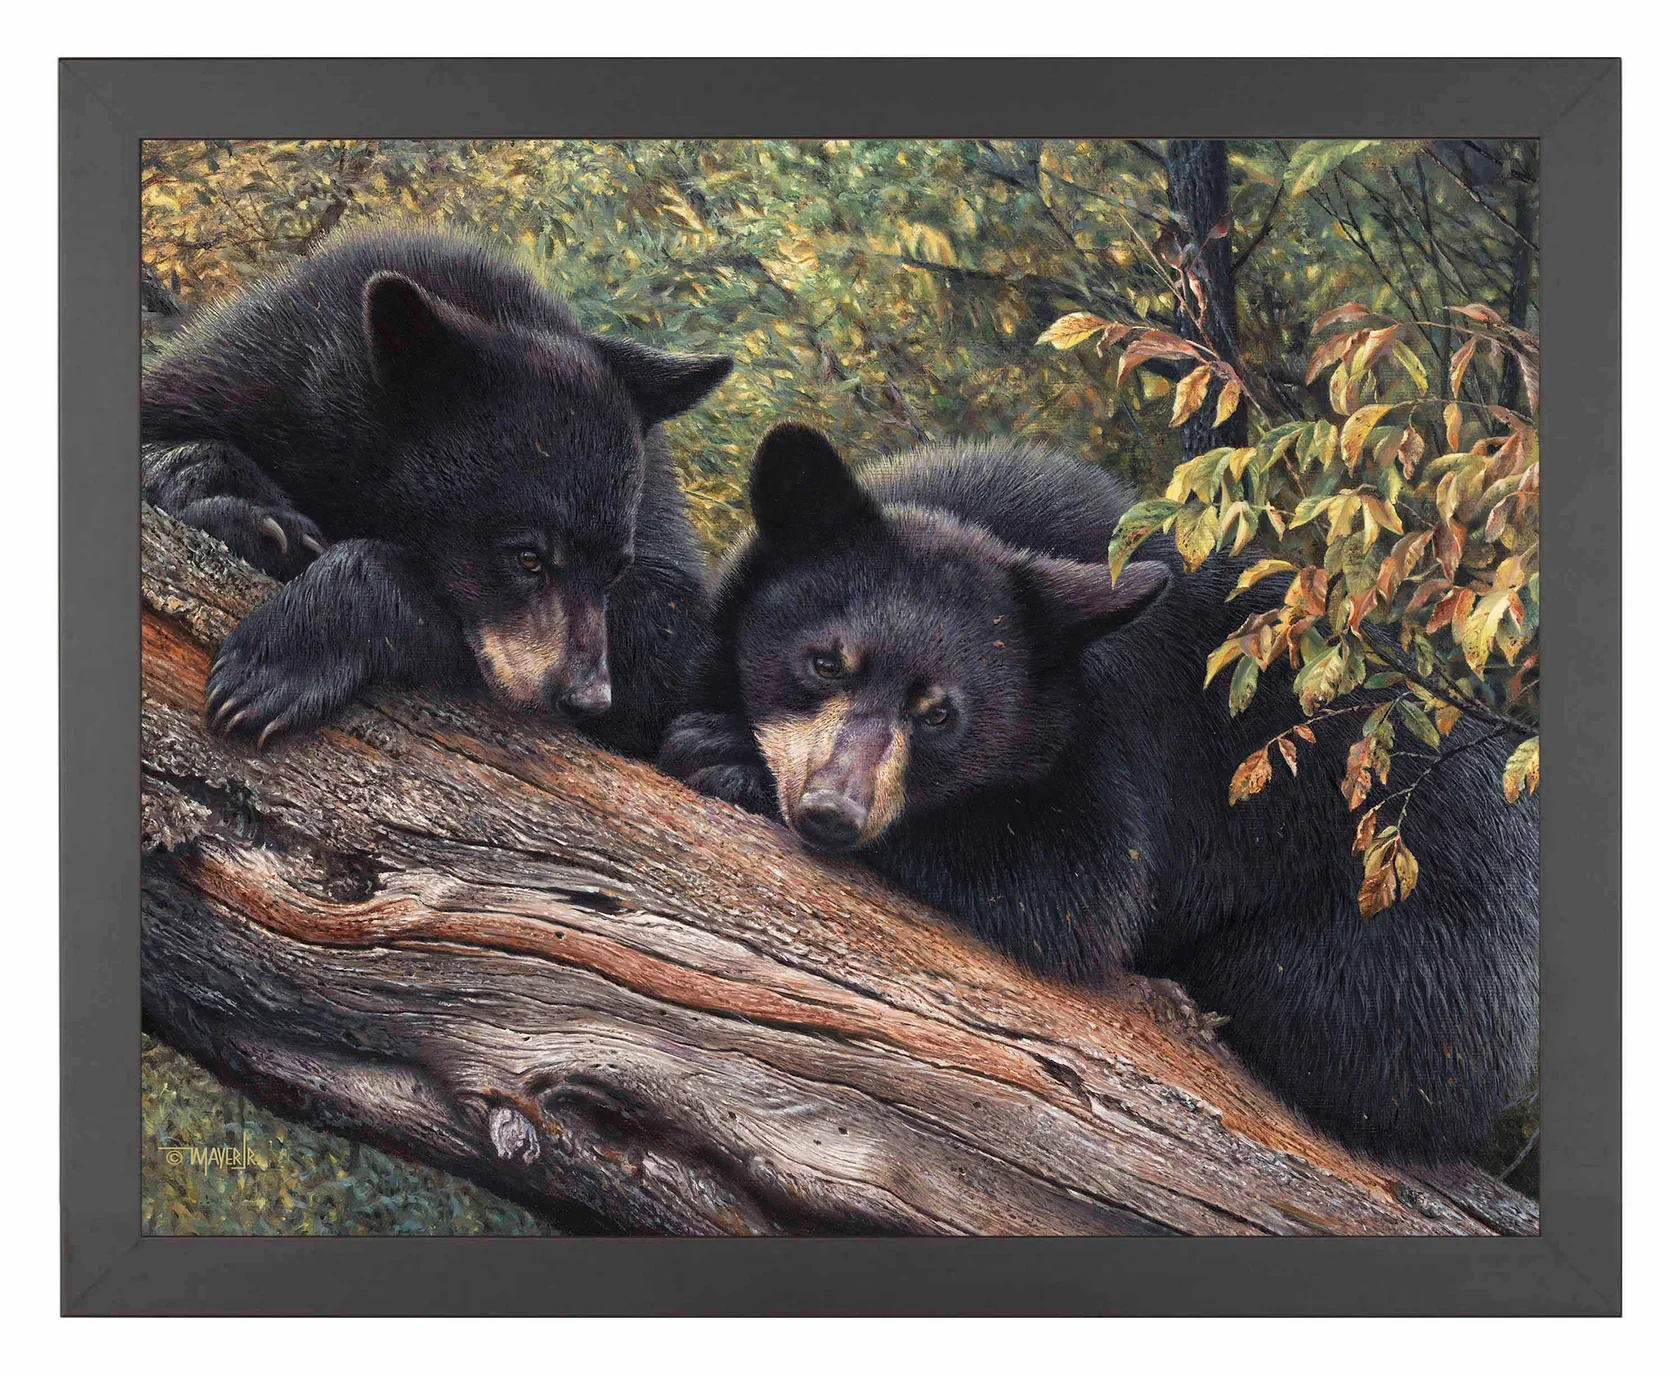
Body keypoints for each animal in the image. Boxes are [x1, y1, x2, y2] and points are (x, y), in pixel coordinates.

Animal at [142, 227, 732, 759]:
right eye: (527, 557)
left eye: (615, 569)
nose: (587, 698)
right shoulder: (253, 371)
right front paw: (258, 516)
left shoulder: (653, 520)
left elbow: (667, 648)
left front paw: (276, 661)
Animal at [659, 422, 1539, 1162]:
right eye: (824, 661)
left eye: (941, 713)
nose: (831, 811)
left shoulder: (1117, 731)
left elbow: (1079, 882)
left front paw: (727, 753)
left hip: (1419, 948)